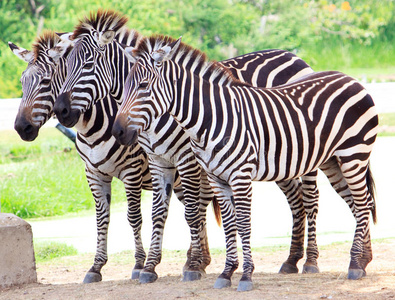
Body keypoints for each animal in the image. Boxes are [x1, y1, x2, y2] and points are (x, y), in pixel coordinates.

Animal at [9, 32, 155, 284]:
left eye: (46, 82)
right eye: (21, 82)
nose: (21, 128)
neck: (92, 127)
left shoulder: (132, 170)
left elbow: (134, 217)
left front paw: (138, 265)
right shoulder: (93, 173)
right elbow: (101, 218)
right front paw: (96, 267)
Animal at [50, 8, 358, 282]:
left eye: (88, 65)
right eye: (62, 69)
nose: (62, 111)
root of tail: (294, 56)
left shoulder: (181, 160)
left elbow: (190, 212)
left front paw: (194, 265)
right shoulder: (156, 161)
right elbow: (157, 212)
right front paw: (152, 267)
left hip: (305, 153)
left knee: (311, 198)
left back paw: (311, 261)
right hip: (283, 158)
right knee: (297, 199)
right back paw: (292, 260)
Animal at [113, 35, 378, 290]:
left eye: (143, 86)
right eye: (125, 86)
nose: (118, 132)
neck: (210, 118)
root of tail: (350, 78)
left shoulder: (240, 175)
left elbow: (243, 222)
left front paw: (246, 275)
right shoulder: (217, 178)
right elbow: (230, 224)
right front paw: (227, 272)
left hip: (354, 155)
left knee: (362, 203)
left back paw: (354, 264)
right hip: (334, 161)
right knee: (357, 205)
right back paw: (363, 261)